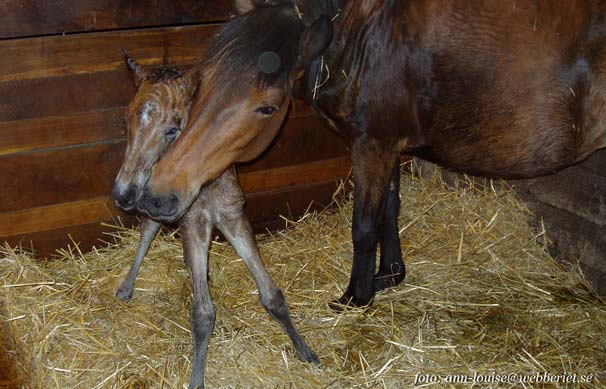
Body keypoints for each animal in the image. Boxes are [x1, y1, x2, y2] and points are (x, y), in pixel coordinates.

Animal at [113, 54, 318, 388]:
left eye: (173, 129)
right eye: (125, 119)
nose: (122, 193)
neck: (206, 184)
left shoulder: (233, 217)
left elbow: (272, 295)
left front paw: (305, 351)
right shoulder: (191, 222)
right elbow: (202, 314)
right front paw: (197, 378)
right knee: (147, 231)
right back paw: (126, 287)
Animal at [135, 0, 606, 310]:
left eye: (266, 107)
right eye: (204, 83)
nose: (160, 191)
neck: (366, 37)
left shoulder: (372, 146)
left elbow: (364, 225)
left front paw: (356, 296)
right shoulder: (389, 146)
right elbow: (389, 211)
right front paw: (389, 276)